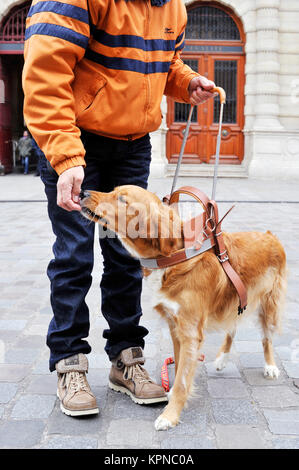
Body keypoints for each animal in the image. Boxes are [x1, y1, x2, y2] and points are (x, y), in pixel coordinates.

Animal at [80, 184, 288, 430]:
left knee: (266, 338)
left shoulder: (190, 332)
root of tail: (270, 235)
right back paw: (222, 358)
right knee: (232, 327)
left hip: (268, 305)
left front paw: (170, 415)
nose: (82, 193)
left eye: (122, 199)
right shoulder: (175, 327)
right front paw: (172, 396)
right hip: (234, 300)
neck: (173, 258)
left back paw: (270, 366)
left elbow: (181, 379)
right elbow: (179, 365)